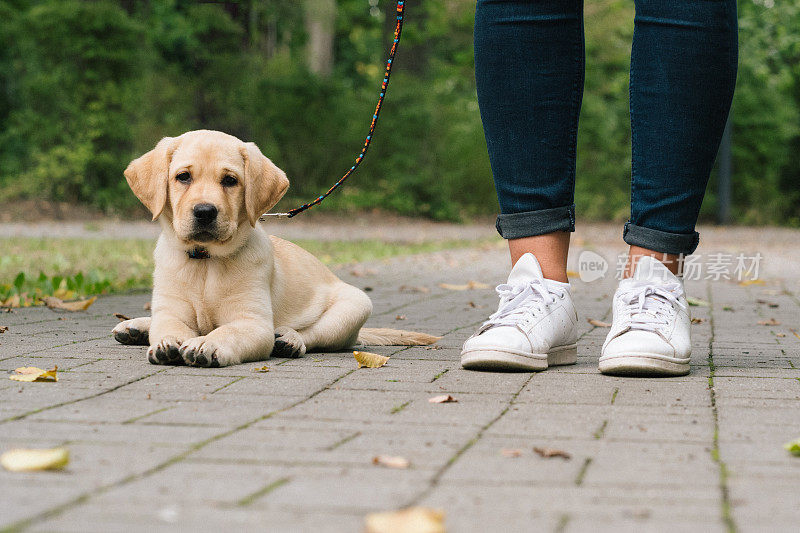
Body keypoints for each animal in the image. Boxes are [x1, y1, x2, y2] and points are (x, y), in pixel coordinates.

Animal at [111, 129, 438, 366]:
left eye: (230, 180)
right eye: (183, 177)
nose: (205, 211)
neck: (206, 260)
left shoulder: (253, 322)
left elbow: (228, 330)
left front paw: (208, 342)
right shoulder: (171, 311)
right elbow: (169, 328)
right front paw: (167, 344)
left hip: (354, 306)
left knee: (313, 335)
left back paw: (289, 339)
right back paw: (135, 327)